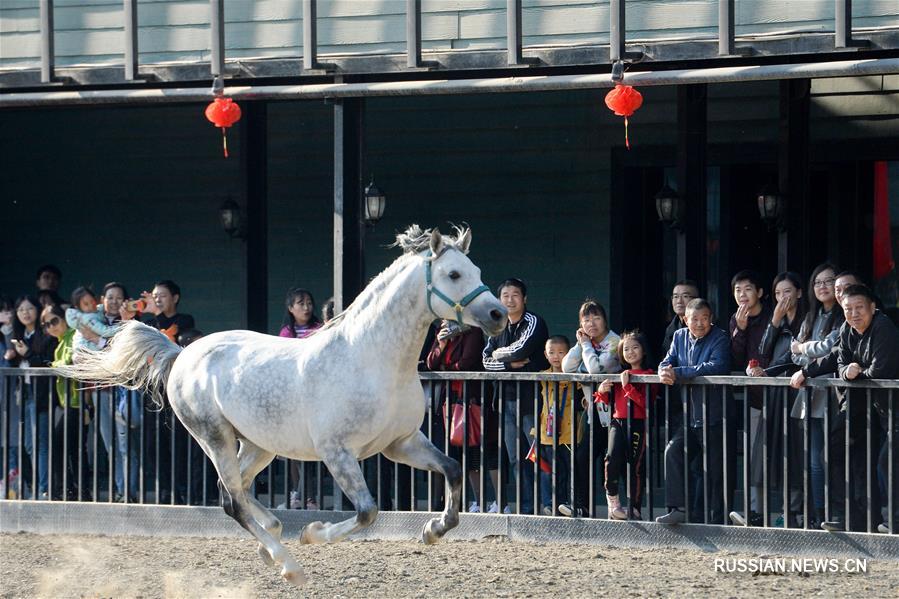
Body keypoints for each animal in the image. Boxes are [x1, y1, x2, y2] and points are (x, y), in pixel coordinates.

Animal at [60, 226, 510, 584]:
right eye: (454, 274)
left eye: (478, 272)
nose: (498, 314)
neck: (373, 359)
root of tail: (182, 353)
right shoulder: (337, 452)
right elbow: (368, 512)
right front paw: (313, 533)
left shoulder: (401, 443)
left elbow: (453, 469)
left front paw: (433, 530)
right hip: (214, 437)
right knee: (232, 500)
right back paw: (288, 563)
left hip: (259, 444)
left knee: (238, 489)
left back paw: (272, 538)